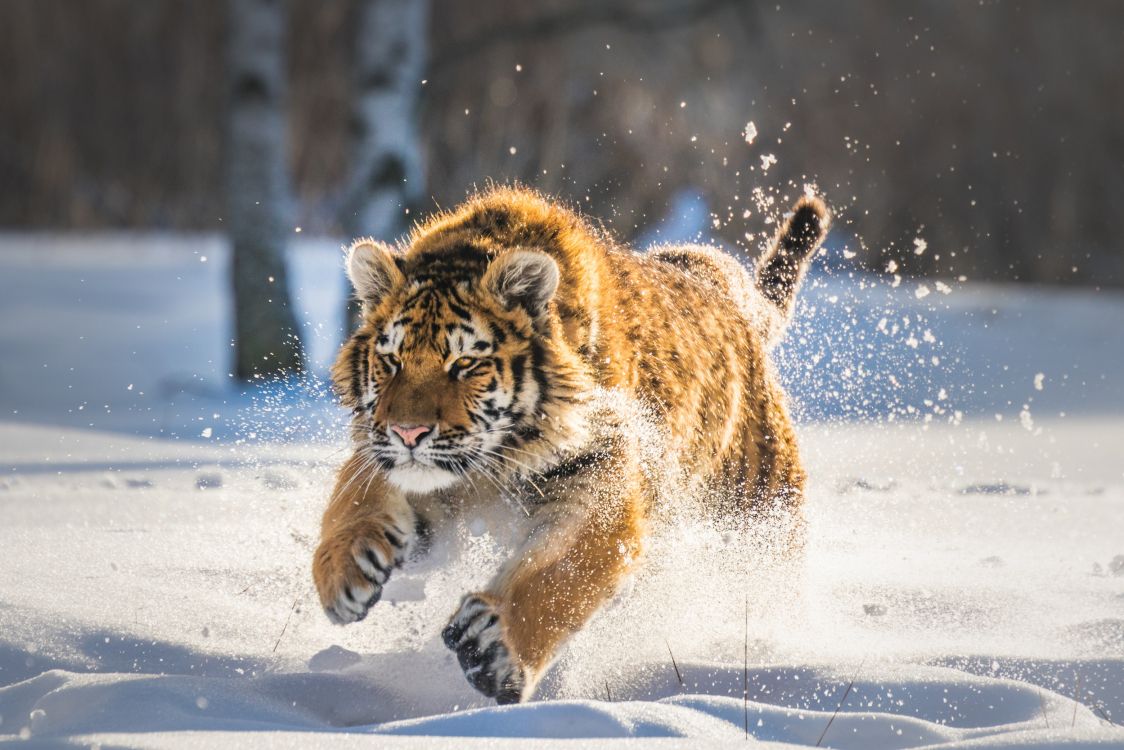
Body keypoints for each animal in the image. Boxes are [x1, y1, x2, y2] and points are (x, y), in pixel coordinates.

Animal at [312, 186, 829, 704]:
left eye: (464, 363)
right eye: (391, 360)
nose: (408, 433)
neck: (492, 464)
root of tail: (728, 292)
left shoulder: (600, 484)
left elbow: (559, 576)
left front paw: (494, 648)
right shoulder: (398, 461)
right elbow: (354, 497)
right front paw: (342, 572)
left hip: (759, 518)